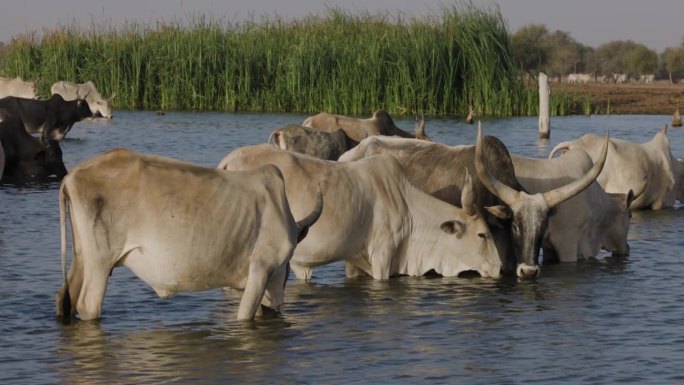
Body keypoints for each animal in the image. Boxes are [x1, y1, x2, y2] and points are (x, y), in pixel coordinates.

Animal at [56, 148, 324, 320]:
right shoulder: (261, 270)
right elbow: (245, 317)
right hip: (100, 262)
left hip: (83, 258)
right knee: (88, 305)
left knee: (66, 298)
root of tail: (72, 176)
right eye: (285, 267)